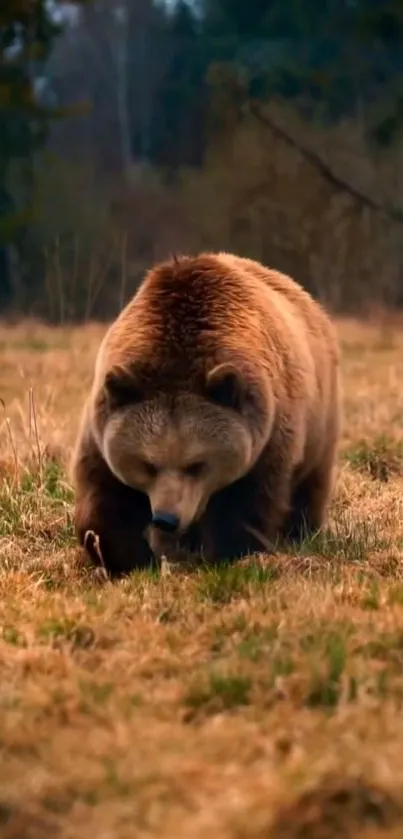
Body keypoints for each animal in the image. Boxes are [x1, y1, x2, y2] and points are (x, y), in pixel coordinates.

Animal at [72, 249, 340, 576]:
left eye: (197, 464)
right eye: (148, 464)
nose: (166, 519)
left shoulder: (268, 435)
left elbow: (245, 504)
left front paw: (231, 553)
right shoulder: (104, 424)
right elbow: (106, 499)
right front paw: (122, 558)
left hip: (319, 418)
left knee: (309, 484)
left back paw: (300, 533)